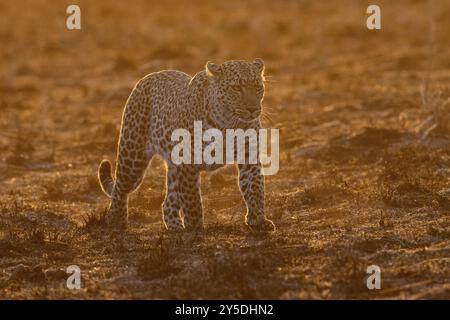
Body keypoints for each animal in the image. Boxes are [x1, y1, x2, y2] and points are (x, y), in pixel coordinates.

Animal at [97, 58, 274, 232]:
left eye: (258, 87)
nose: (252, 109)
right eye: (236, 88)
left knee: (168, 202)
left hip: (174, 167)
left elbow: (255, 188)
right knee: (120, 188)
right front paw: (195, 230)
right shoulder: (189, 162)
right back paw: (116, 220)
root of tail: (148, 77)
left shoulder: (249, 156)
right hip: (133, 156)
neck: (229, 122)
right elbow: (192, 202)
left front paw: (259, 221)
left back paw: (176, 228)